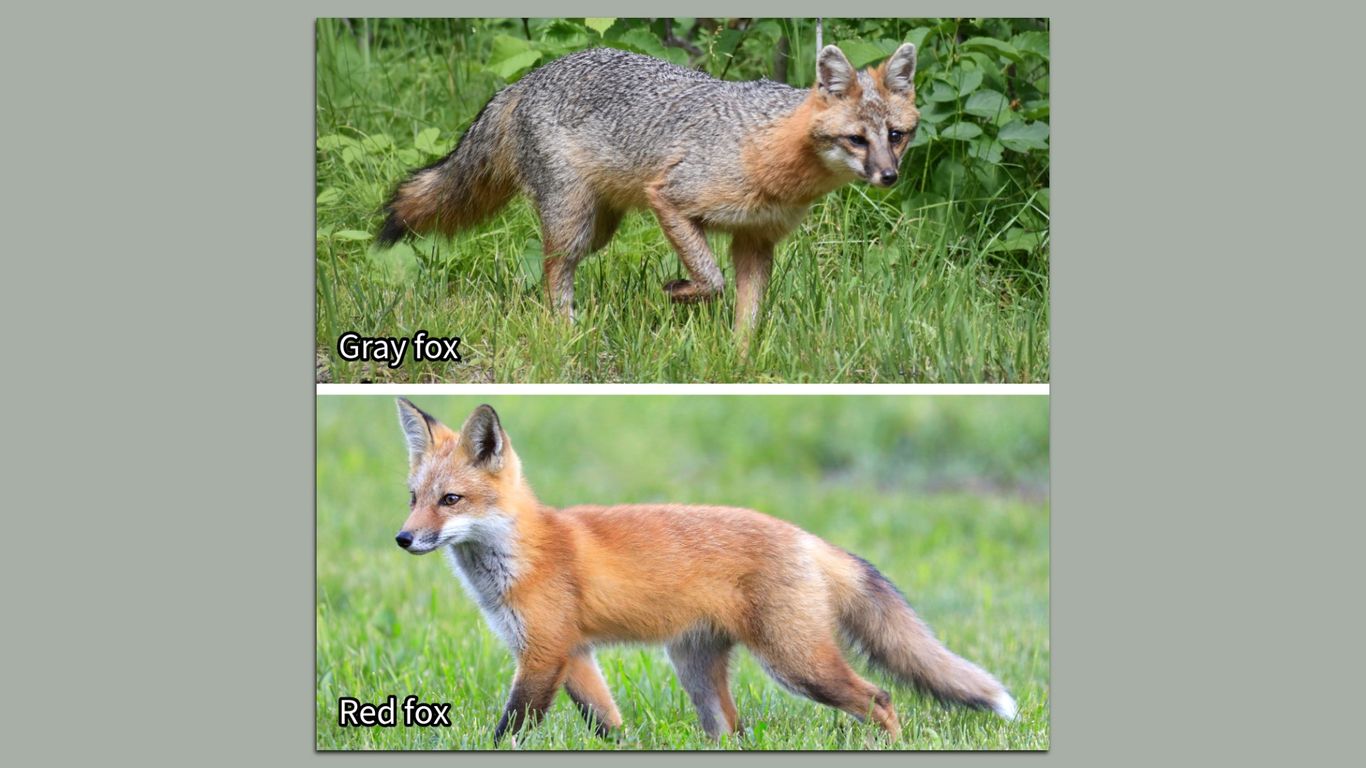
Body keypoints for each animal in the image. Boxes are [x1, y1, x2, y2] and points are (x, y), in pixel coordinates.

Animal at [376, 43, 921, 340]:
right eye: (857, 139)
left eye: (897, 136)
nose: (888, 176)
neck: (767, 148)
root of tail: (527, 79)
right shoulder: (671, 199)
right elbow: (711, 280)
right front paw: (677, 292)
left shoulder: (755, 239)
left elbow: (747, 317)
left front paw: (739, 360)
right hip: (574, 223)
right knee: (554, 272)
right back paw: (565, 333)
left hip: (599, 230)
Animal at [392, 399, 1017, 744]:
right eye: (414, 498)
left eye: (450, 500)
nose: (403, 538)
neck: (522, 555)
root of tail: (806, 537)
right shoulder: (572, 653)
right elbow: (607, 724)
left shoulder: (544, 652)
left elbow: (512, 729)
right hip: (696, 667)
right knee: (733, 731)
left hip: (797, 663)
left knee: (880, 698)